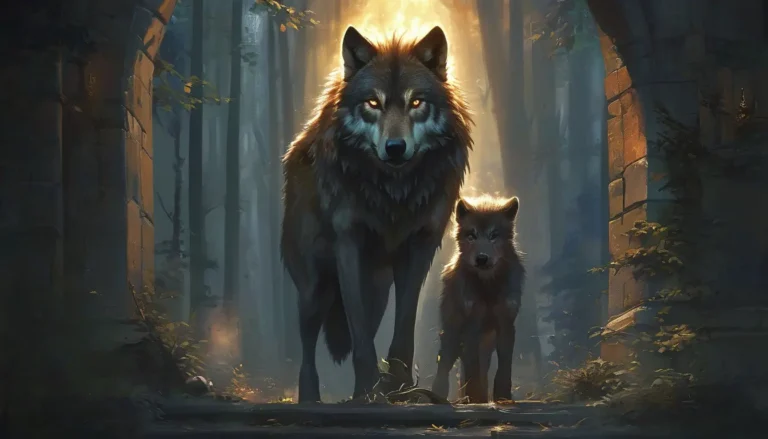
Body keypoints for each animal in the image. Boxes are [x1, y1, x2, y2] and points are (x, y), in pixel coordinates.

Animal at [281, 26, 474, 403]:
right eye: (373, 103)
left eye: (416, 102)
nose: (395, 148)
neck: (393, 193)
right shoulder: (348, 245)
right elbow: (359, 340)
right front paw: (367, 391)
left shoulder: (420, 248)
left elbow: (402, 330)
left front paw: (397, 386)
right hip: (314, 289)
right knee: (308, 347)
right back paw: (310, 397)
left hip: (379, 292)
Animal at [431, 196, 525, 403]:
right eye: (471, 235)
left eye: (494, 235)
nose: (482, 258)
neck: (488, 287)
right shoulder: (472, 324)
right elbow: (472, 368)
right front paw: (476, 397)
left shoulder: (506, 324)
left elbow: (504, 367)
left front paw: (502, 397)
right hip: (453, 333)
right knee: (445, 361)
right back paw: (438, 395)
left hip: (486, 341)